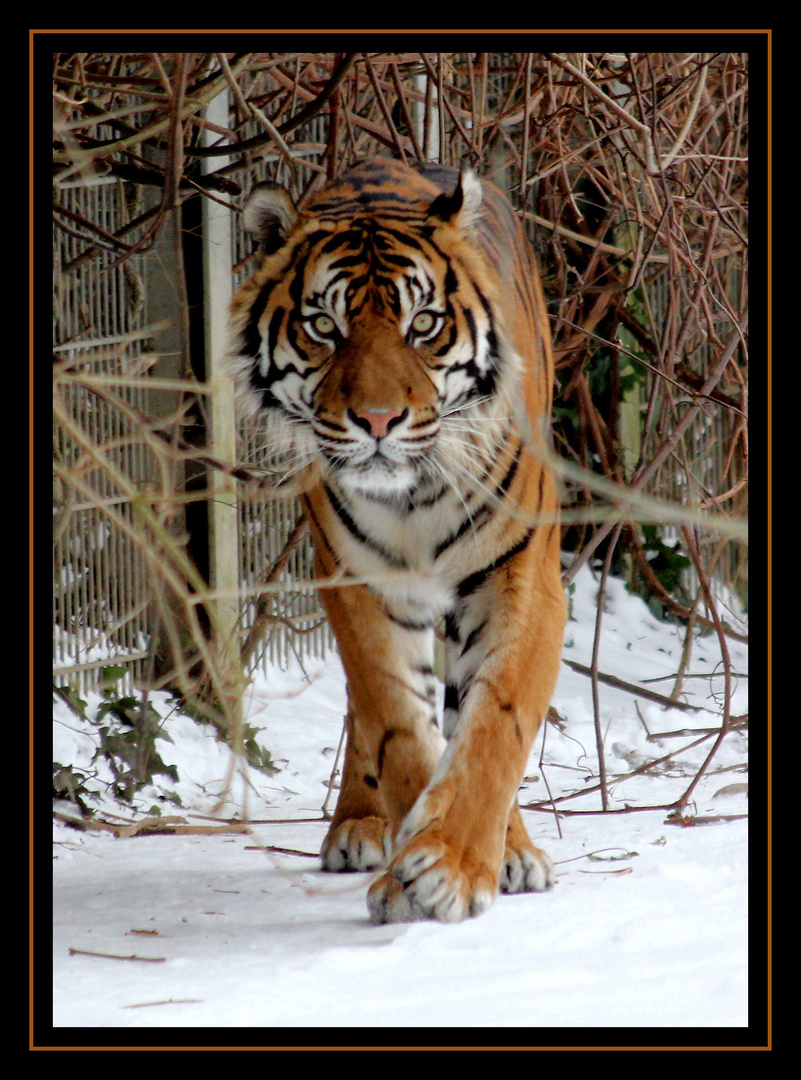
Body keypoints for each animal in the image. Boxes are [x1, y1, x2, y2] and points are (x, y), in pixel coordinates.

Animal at [231, 156, 569, 924]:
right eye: (323, 325)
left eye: (424, 325)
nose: (378, 420)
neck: (415, 497)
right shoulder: (361, 584)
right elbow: (398, 727)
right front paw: (410, 872)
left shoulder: (521, 576)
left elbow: (495, 722)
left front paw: (451, 866)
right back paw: (359, 825)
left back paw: (510, 849)